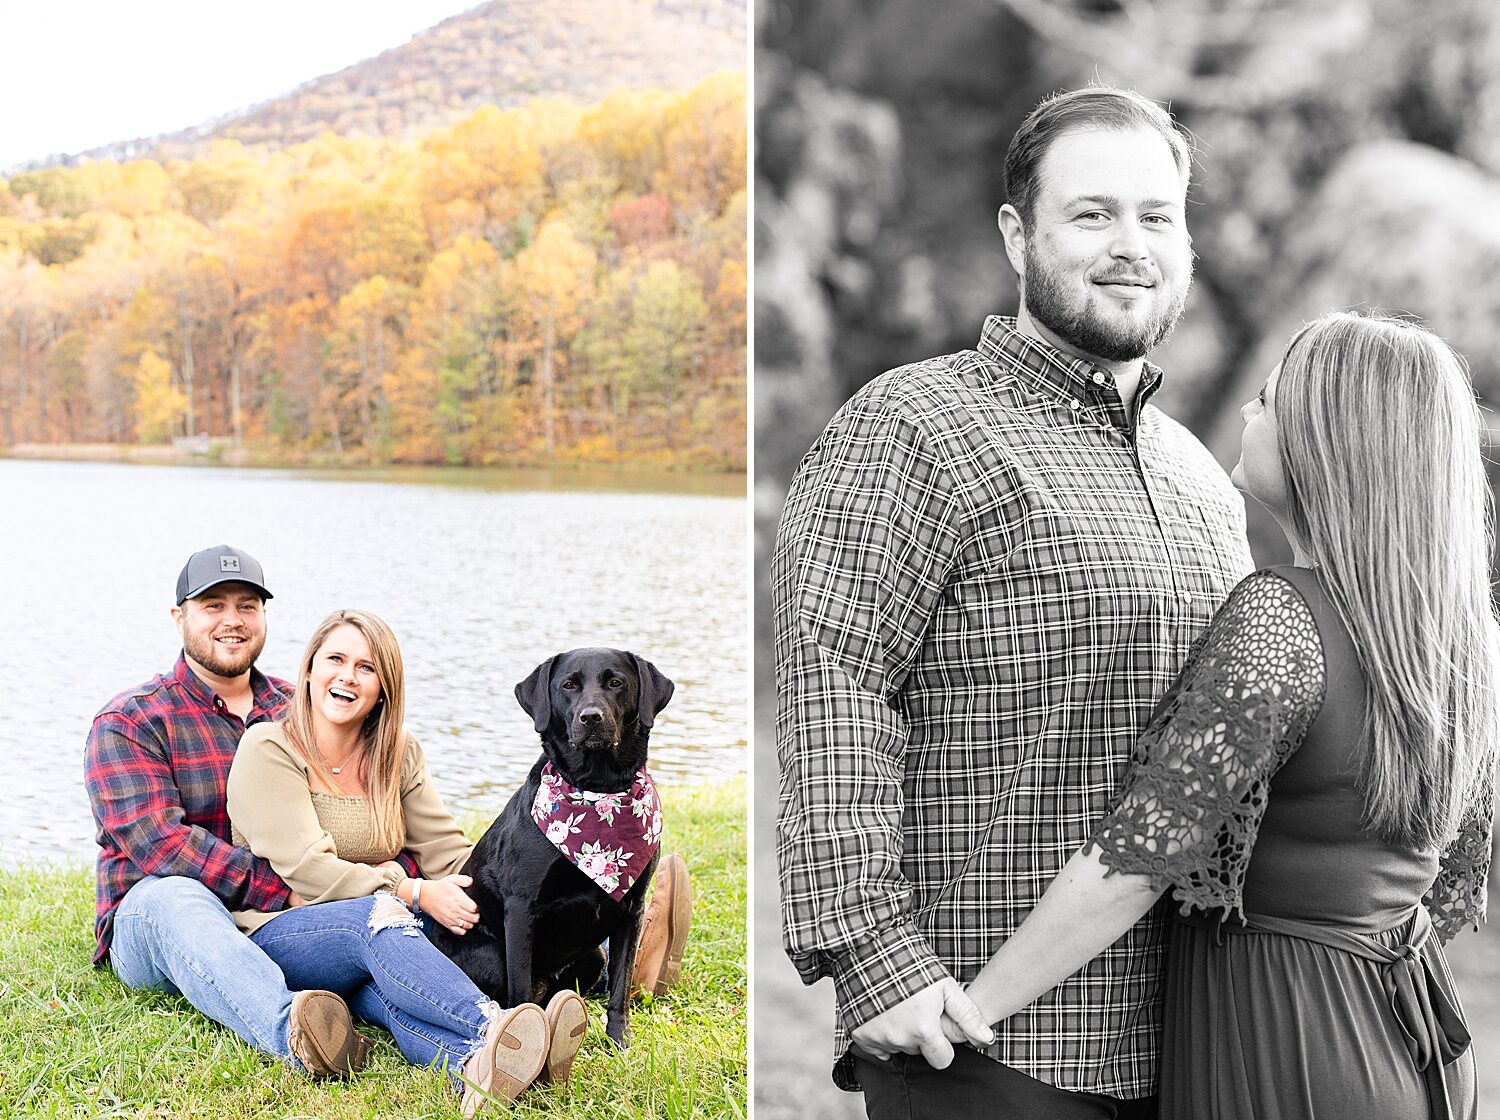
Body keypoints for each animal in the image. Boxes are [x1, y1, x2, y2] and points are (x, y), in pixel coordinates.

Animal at [429, 644, 675, 1049]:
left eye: (616, 683)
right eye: (568, 685)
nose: (590, 717)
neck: (597, 789)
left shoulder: (632, 909)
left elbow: (620, 987)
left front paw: (618, 1042)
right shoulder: (521, 907)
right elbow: (519, 993)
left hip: (594, 956)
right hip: (493, 955)